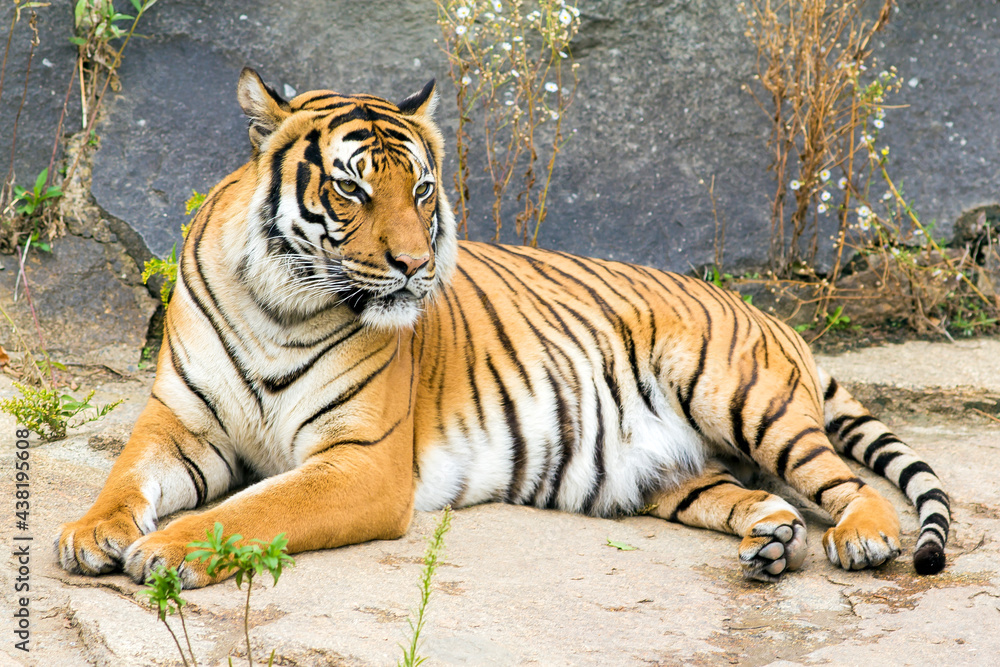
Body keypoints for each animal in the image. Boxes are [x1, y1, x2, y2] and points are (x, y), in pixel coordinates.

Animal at [56, 68, 950, 588]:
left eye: (420, 190)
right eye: (351, 188)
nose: (416, 265)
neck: (279, 300)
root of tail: (766, 312)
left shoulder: (361, 462)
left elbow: (252, 509)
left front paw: (166, 550)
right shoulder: (182, 421)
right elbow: (126, 478)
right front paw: (87, 532)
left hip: (742, 395)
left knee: (846, 482)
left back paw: (862, 540)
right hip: (670, 473)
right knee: (758, 498)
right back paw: (769, 546)